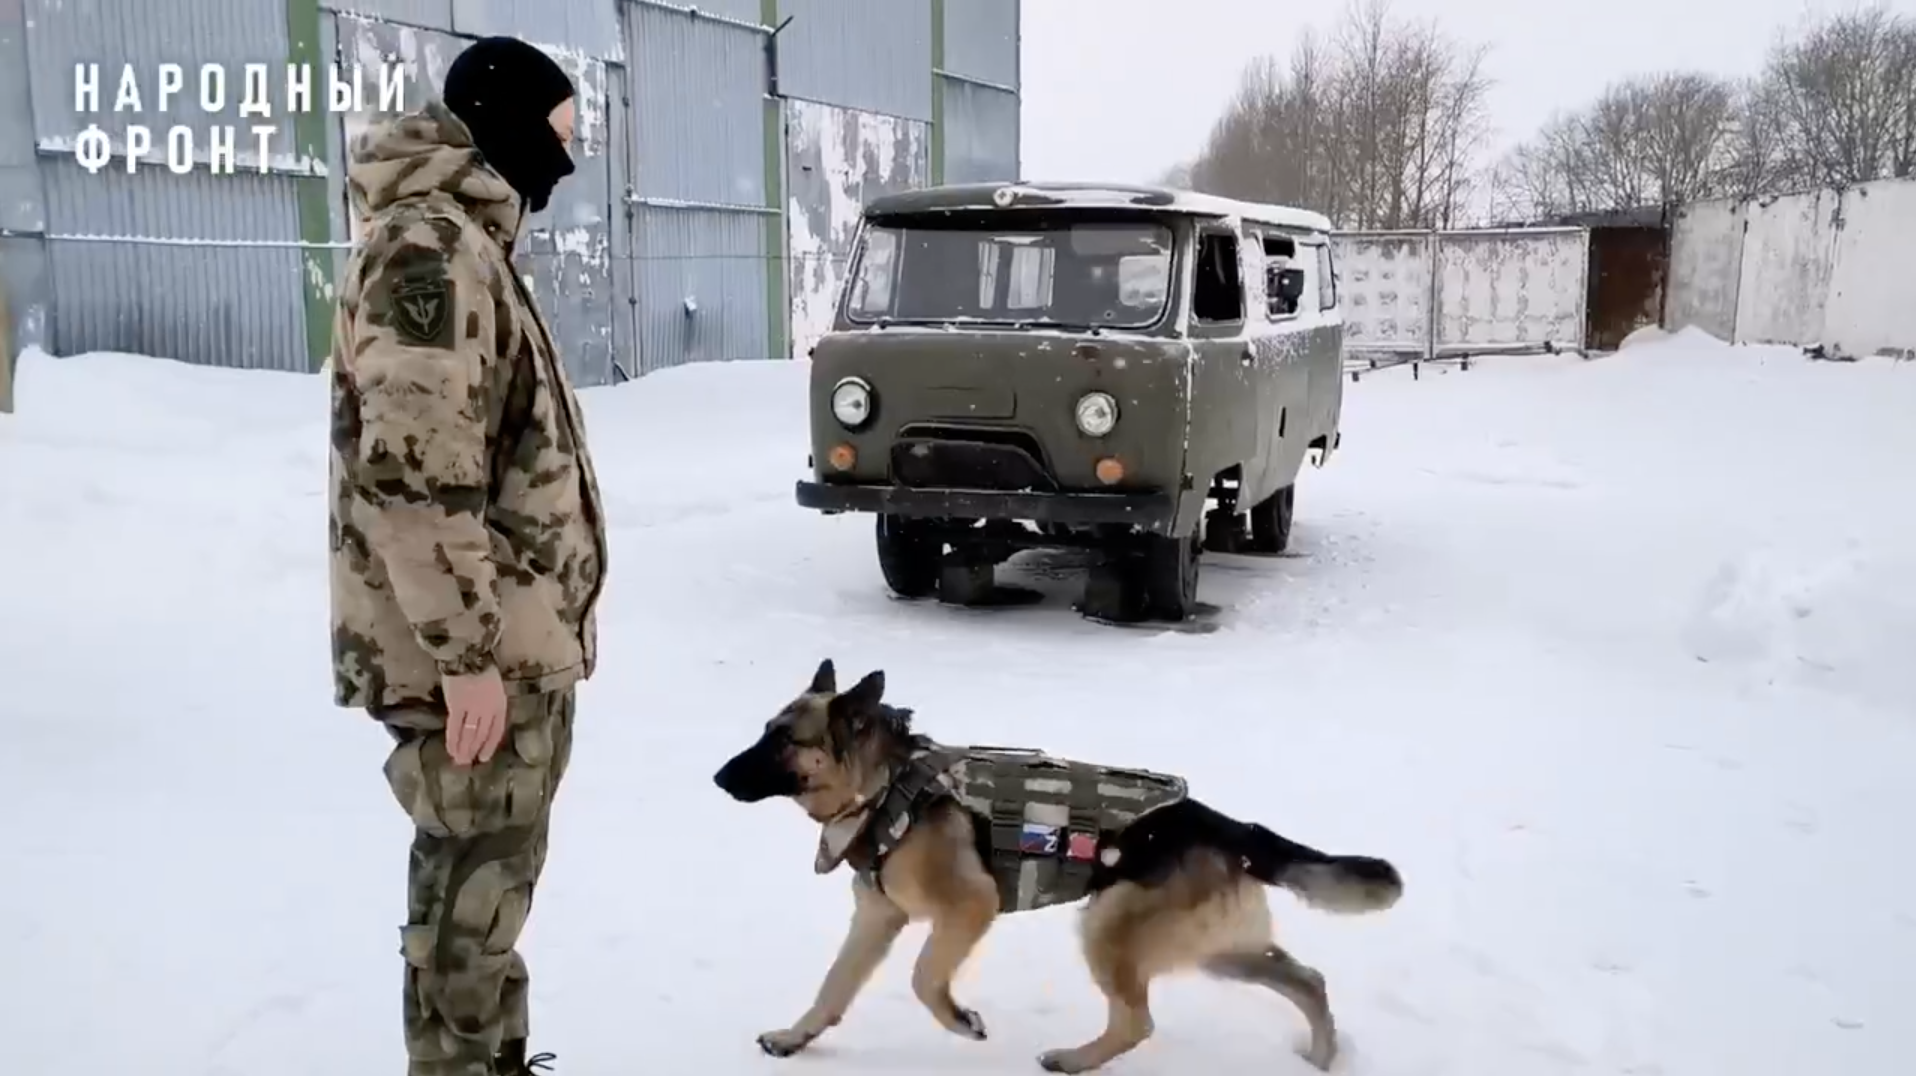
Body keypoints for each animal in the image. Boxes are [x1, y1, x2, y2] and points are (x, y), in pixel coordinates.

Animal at [712, 658, 1402, 1064]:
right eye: (766, 730)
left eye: (784, 740)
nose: (717, 778)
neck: (885, 786)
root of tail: (1226, 826)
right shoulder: (877, 920)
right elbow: (833, 987)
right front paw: (795, 1037)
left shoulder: (968, 909)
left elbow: (924, 979)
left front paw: (961, 1020)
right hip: (1215, 949)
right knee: (1306, 979)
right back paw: (1321, 1057)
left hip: (1108, 927)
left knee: (1139, 1022)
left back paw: (1073, 1059)